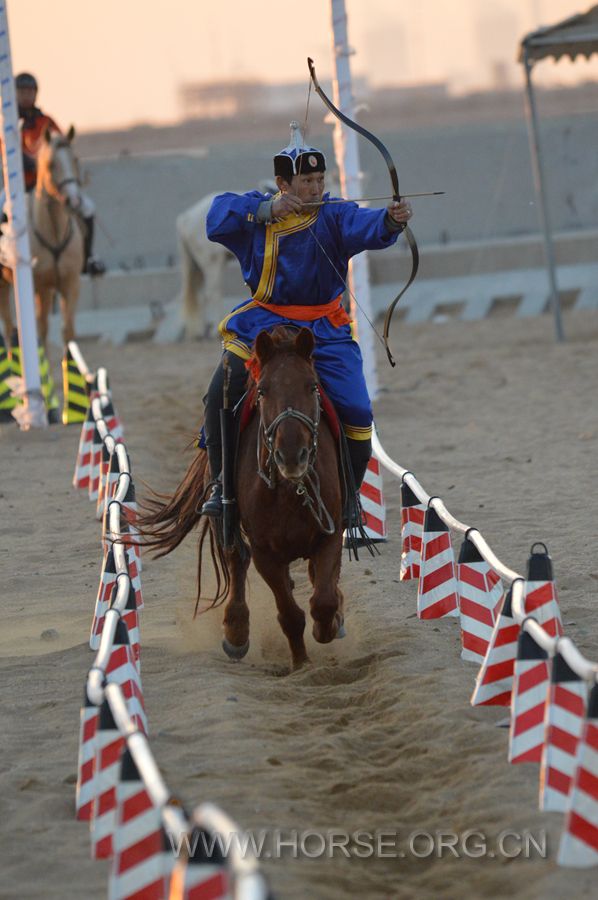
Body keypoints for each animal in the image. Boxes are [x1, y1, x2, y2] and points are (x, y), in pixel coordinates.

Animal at [0, 126, 85, 348]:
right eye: (51, 164)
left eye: (75, 159)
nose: (74, 200)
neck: (53, 233)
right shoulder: (41, 288)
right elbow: (41, 330)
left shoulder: (71, 284)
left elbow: (68, 331)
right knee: (8, 329)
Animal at [141, 326, 346, 668]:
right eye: (262, 391)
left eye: (313, 385)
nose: (292, 456)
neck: (289, 491)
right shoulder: (265, 553)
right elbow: (290, 615)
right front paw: (302, 664)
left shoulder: (330, 534)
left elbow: (323, 600)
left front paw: (328, 626)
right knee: (236, 559)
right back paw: (236, 631)